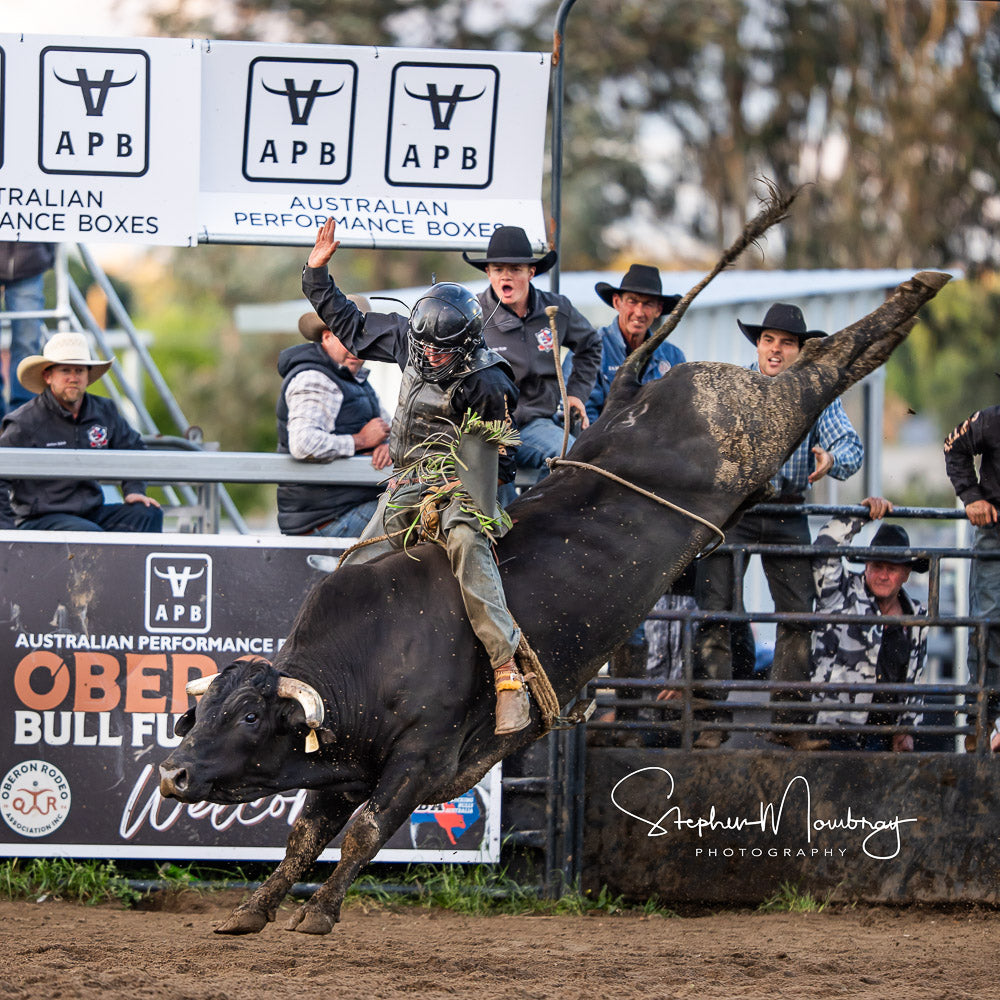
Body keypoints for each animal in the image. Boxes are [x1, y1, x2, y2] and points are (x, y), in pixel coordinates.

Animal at [160, 270, 948, 932]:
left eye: (251, 714)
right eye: (203, 710)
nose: (173, 772)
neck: (376, 649)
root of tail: (681, 387)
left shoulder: (419, 759)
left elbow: (362, 832)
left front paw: (317, 915)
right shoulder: (344, 763)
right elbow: (303, 836)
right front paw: (251, 912)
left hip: (758, 421)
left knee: (824, 368)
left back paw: (914, 294)